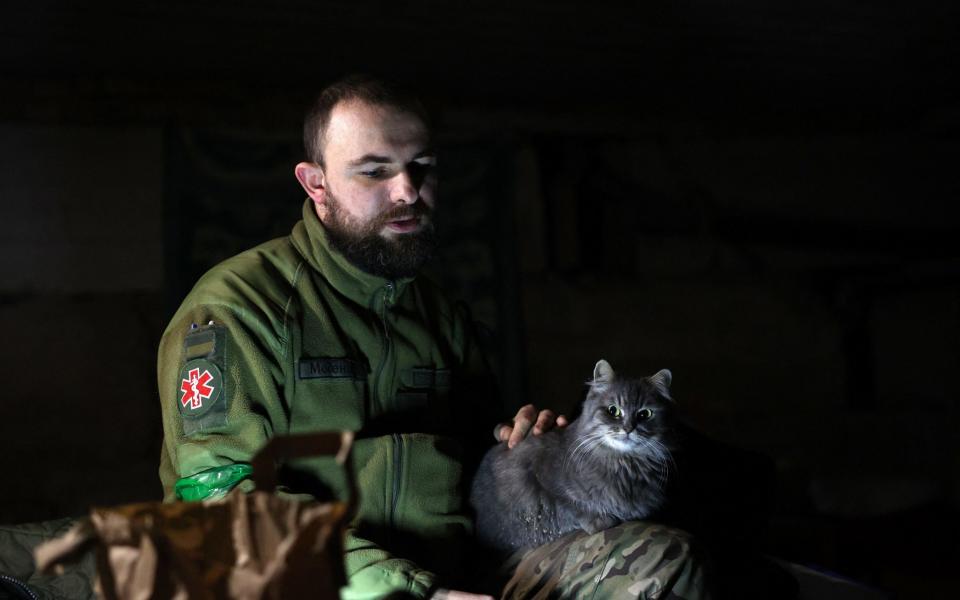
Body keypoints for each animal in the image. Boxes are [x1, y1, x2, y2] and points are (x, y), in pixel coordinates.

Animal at [468, 360, 680, 552]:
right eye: (613, 411)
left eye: (645, 414)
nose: (628, 429)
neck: (622, 464)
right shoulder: (544, 482)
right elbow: (570, 506)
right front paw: (600, 520)